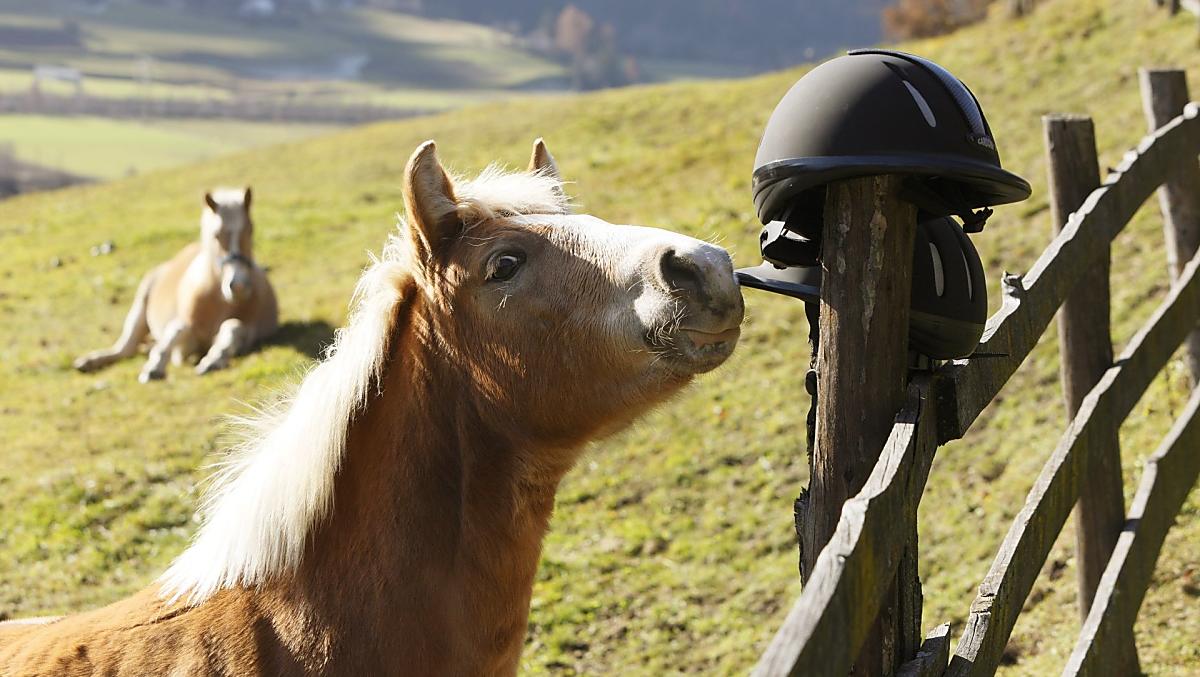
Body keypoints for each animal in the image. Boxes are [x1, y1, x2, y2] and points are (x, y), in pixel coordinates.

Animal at [73, 187, 278, 382]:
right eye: (216, 235)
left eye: (250, 230)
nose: (238, 286)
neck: (218, 300)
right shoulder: (184, 348)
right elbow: (176, 330)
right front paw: (154, 367)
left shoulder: (249, 332)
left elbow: (233, 327)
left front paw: (214, 360)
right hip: (140, 305)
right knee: (125, 349)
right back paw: (89, 361)